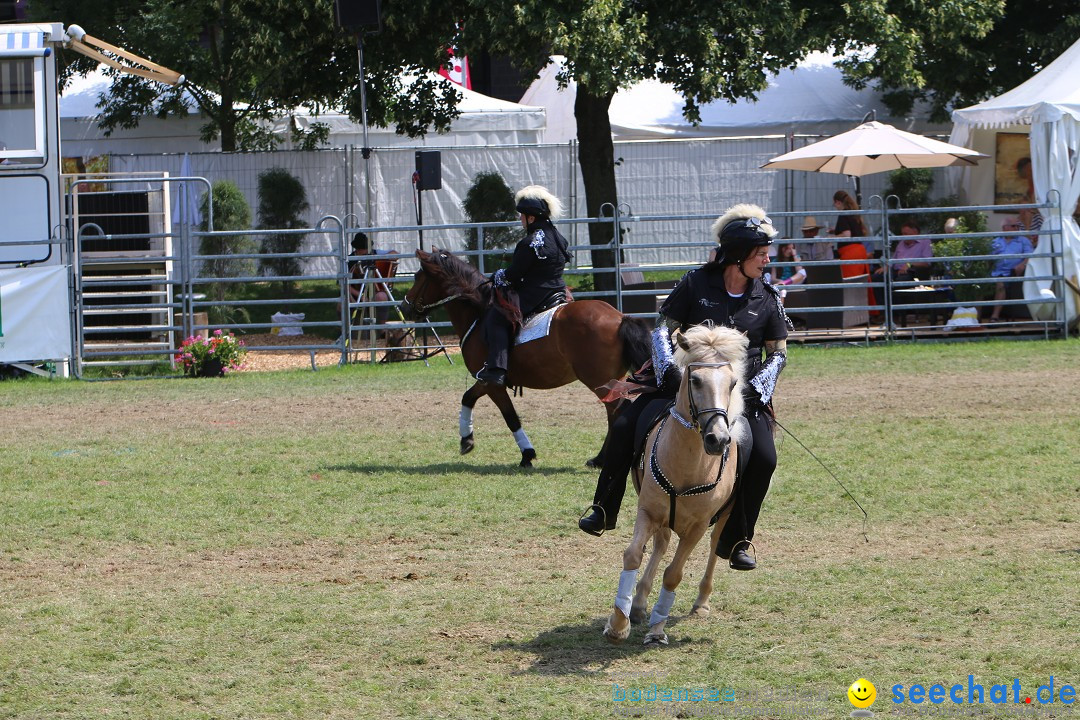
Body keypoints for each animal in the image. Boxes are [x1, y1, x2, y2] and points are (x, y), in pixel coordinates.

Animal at [397, 246, 648, 468]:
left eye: (418, 277)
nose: (404, 307)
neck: (479, 313)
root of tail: (620, 318)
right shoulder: (485, 380)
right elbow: (468, 398)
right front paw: (466, 440)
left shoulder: (493, 383)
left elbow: (510, 417)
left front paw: (527, 454)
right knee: (614, 413)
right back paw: (600, 459)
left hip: (598, 382)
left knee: (618, 411)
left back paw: (602, 459)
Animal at [604, 325, 747, 647]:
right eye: (695, 380)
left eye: (733, 383)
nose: (718, 439)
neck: (688, 464)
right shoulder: (648, 511)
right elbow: (633, 555)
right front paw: (618, 622)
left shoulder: (697, 527)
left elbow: (674, 574)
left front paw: (657, 629)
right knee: (661, 543)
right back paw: (639, 603)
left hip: (725, 516)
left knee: (715, 547)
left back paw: (701, 603)